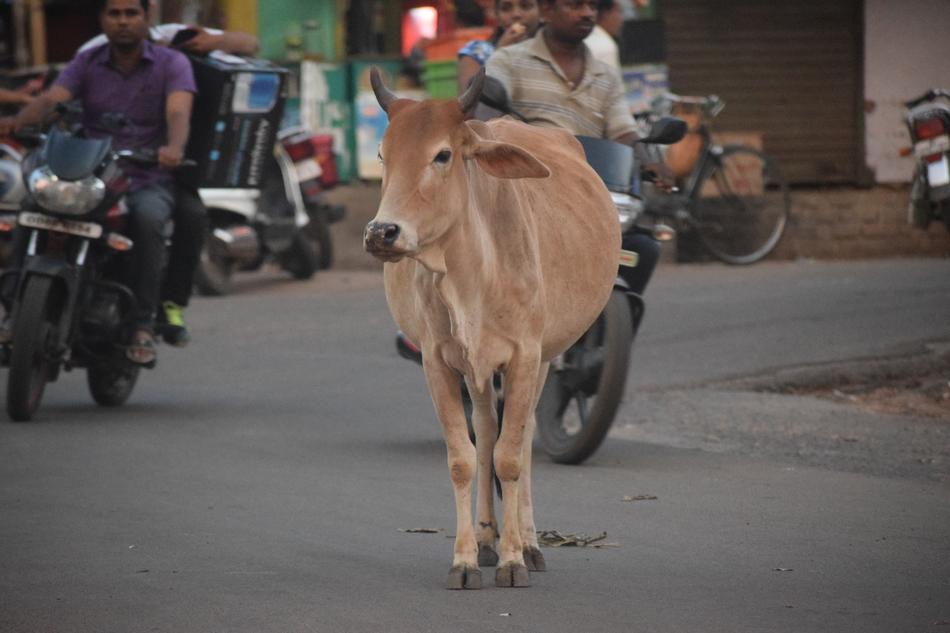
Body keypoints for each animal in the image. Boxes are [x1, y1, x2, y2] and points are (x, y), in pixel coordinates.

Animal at [364, 67, 619, 589]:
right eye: (383, 155)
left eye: (442, 155)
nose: (382, 232)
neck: (470, 270)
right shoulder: (438, 360)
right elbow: (464, 458)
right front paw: (464, 559)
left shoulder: (524, 355)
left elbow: (511, 457)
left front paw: (513, 559)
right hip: (477, 368)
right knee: (484, 428)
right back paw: (486, 539)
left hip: (544, 357)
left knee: (520, 439)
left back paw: (530, 544)